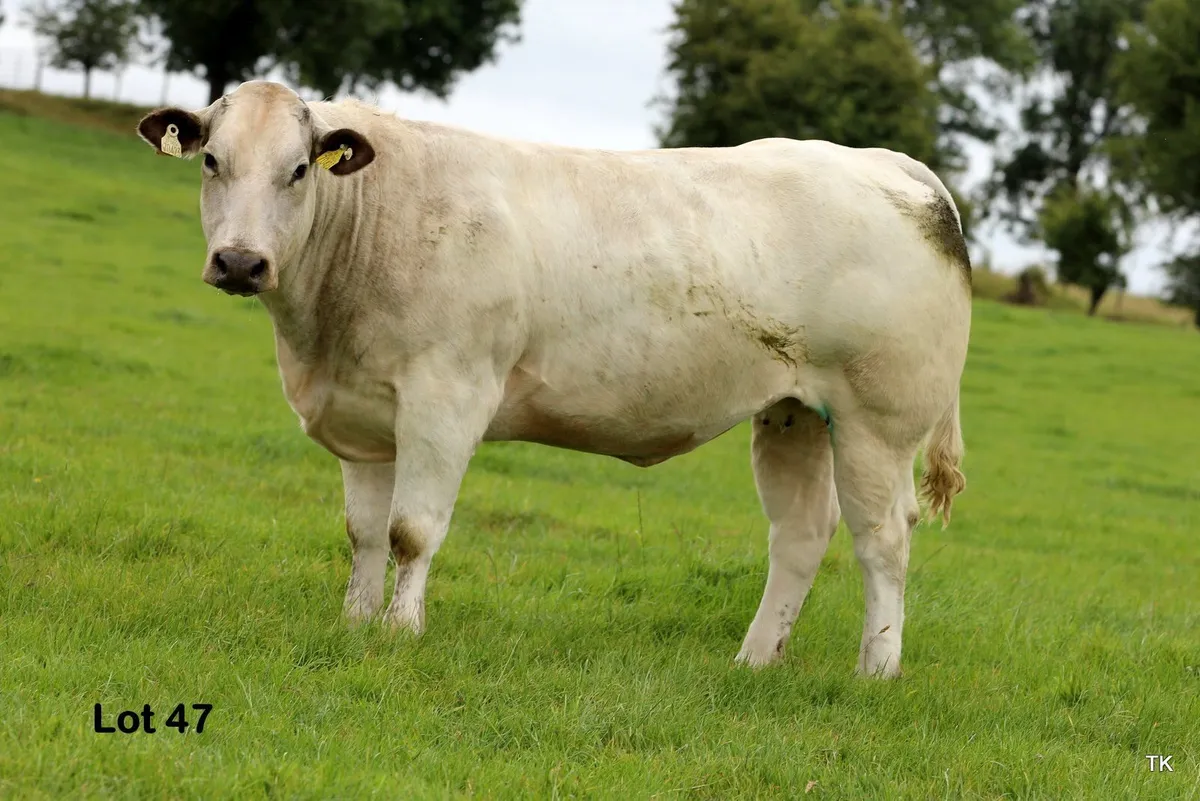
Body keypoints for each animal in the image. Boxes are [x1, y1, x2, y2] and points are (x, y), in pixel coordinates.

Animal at [136, 80, 970, 678]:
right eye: (212, 160)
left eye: (298, 169)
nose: (241, 261)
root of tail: (885, 162)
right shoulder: (364, 414)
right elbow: (364, 532)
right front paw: (355, 622)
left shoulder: (446, 398)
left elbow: (413, 530)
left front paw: (401, 632)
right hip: (794, 412)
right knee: (800, 532)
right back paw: (754, 661)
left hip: (876, 421)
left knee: (883, 538)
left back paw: (876, 670)